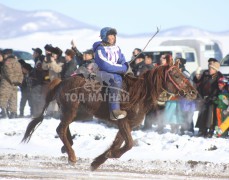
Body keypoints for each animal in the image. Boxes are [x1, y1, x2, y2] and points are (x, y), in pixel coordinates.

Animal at [21, 63, 197, 170]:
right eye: (177, 76)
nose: (193, 92)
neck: (139, 93)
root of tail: (61, 82)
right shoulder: (123, 122)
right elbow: (129, 144)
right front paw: (109, 156)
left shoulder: (126, 125)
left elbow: (118, 143)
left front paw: (98, 161)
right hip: (71, 109)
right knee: (60, 129)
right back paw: (71, 155)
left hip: (81, 113)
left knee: (64, 128)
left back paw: (67, 146)